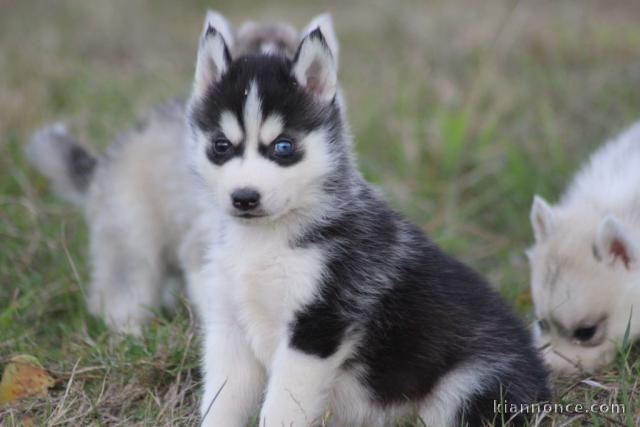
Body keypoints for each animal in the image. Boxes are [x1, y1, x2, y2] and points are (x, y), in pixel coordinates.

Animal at [186, 11, 552, 426]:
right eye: (221, 145)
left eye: (283, 146)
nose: (245, 198)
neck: (264, 242)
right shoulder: (229, 325)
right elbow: (223, 400)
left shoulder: (317, 326)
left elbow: (281, 407)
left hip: (471, 383)